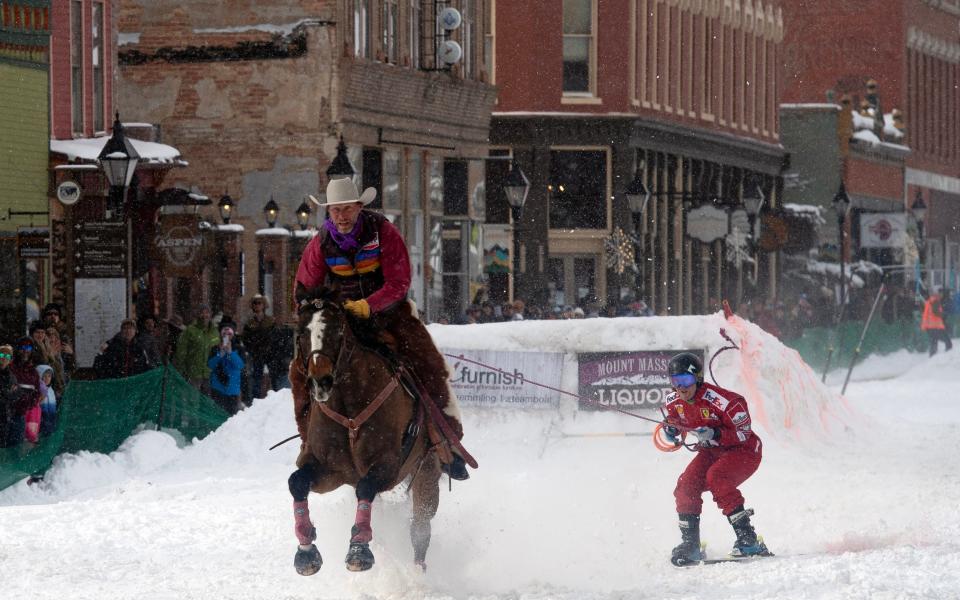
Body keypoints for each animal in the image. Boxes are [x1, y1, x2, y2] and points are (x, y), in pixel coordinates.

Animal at [284, 288, 442, 576]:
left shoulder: (388, 465)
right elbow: (297, 482)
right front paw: (306, 551)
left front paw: (359, 548)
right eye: (301, 332)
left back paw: (417, 573)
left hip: (426, 469)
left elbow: (366, 486)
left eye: (338, 330)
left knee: (420, 528)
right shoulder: (329, 471)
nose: (320, 381)